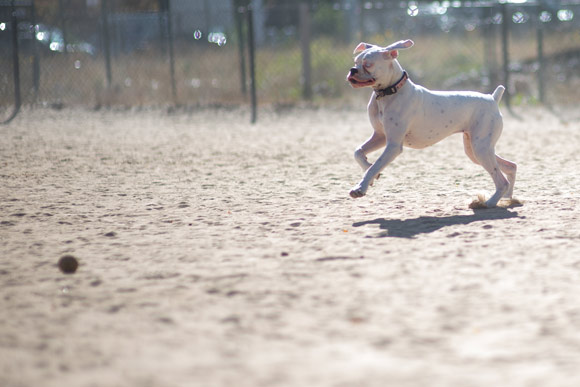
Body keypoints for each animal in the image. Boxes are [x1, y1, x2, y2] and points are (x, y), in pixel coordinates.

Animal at [346, 39, 520, 209]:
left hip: (481, 149)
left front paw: (360, 188)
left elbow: (376, 164)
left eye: (368, 64)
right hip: (475, 150)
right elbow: (358, 153)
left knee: (501, 180)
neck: (389, 93)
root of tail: (492, 98)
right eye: (356, 62)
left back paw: (489, 203)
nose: (352, 70)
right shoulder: (380, 137)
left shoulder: (393, 145)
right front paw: (369, 171)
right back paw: (507, 198)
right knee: (511, 166)